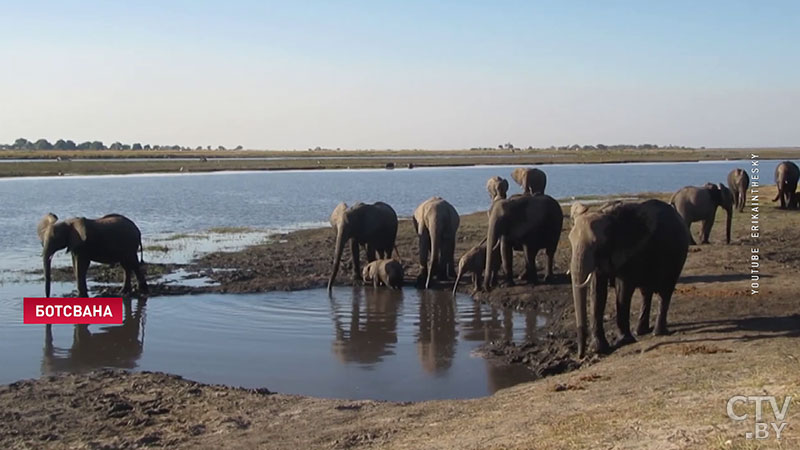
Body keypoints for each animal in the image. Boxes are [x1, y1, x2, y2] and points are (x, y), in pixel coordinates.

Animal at [568, 200, 688, 358]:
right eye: (570, 240)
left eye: (596, 243)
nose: (580, 356)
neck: (606, 215)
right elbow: (597, 292)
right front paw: (598, 349)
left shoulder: (630, 252)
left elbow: (623, 289)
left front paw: (623, 341)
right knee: (646, 292)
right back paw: (640, 331)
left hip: (677, 257)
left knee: (665, 291)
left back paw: (657, 333)